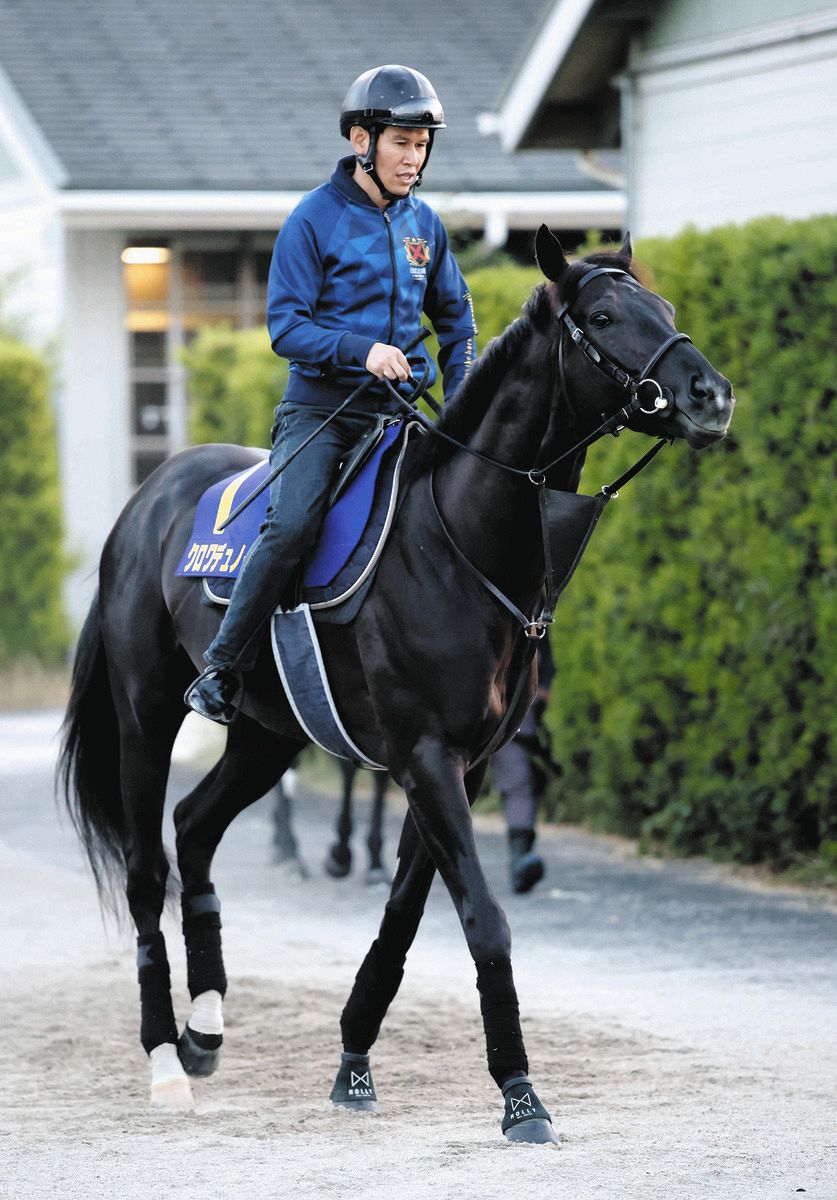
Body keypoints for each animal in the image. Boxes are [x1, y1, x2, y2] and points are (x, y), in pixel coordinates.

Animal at [58, 227, 734, 1141]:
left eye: (661, 307)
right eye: (601, 317)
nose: (710, 395)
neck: (457, 543)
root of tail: (146, 501)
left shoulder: (462, 765)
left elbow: (408, 915)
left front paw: (353, 1062)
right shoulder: (424, 757)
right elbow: (484, 917)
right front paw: (521, 1095)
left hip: (268, 734)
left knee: (195, 829)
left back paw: (206, 1026)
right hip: (146, 719)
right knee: (145, 870)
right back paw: (166, 1058)